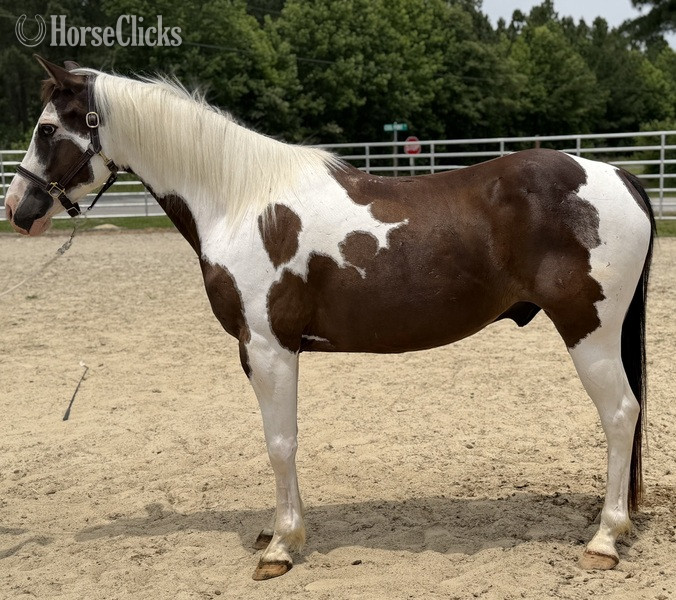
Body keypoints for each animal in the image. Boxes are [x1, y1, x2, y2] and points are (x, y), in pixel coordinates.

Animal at [4, 56, 655, 580]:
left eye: (45, 129)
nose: (18, 209)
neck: (240, 200)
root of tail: (618, 175)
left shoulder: (268, 347)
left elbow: (280, 441)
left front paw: (281, 548)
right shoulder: (266, 349)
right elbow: (283, 441)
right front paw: (282, 535)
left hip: (589, 332)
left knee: (621, 415)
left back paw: (604, 539)